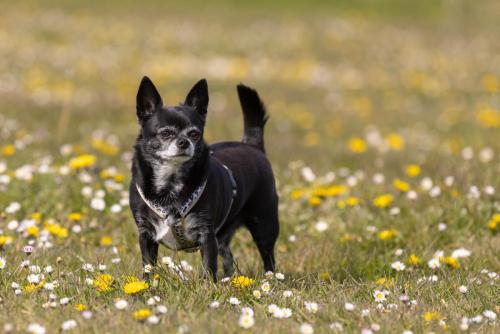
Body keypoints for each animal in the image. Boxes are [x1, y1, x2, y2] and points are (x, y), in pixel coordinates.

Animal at [129, 77, 280, 280]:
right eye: (166, 133)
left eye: (195, 134)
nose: (184, 142)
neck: (171, 183)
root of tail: (251, 145)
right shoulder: (146, 234)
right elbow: (148, 267)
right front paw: (146, 286)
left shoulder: (206, 234)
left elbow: (209, 267)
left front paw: (208, 286)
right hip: (223, 236)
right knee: (228, 256)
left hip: (264, 225)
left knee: (268, 257)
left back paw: (270, 279)